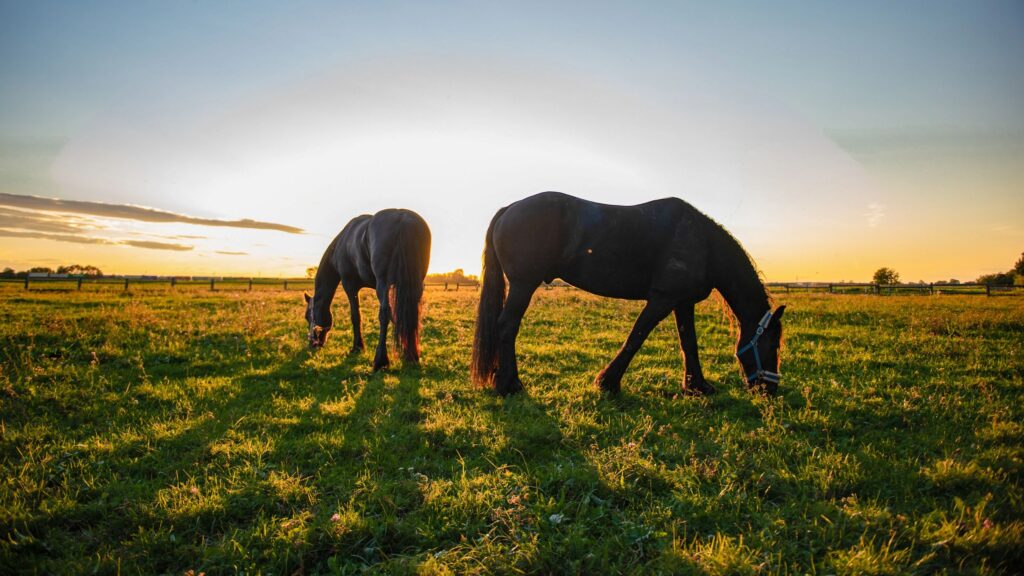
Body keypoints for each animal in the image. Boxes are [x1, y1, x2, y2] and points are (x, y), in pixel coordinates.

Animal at [305, 209, 431, 370]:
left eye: (308, 316)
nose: (313, 343)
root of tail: (403, 218)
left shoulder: (350, 286)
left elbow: (356, 316)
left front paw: (357, 347)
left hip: (383, 284)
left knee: (384, 314)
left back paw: (380, 361)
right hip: (415, 285)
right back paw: (412, 356)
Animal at [471, 191, 785, 396]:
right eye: (772, 345)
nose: (769, 388)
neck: (703, 243)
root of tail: (510, 208)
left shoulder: (682, 303)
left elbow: (689, 343)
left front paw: (697, 386)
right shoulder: (661, 299)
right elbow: (636, 337)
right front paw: (607, 382)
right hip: (523, 285)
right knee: (507, 326)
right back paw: (509, 385)